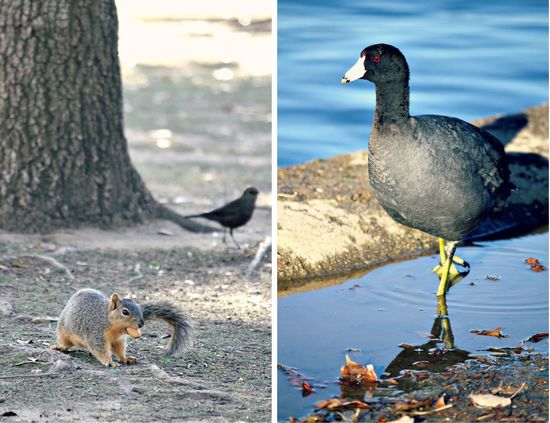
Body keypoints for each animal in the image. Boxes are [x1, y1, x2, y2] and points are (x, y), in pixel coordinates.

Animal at [48, 288, 194, 368]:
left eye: (139, 308)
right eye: (125, 312)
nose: (141, 323)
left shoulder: (118, 339)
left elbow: (119, 349)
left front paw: (125, 358)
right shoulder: (96, 333)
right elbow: (100, 349)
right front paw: (110, 362)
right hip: (63, 331)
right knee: (66, 344)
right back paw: (59, 347)